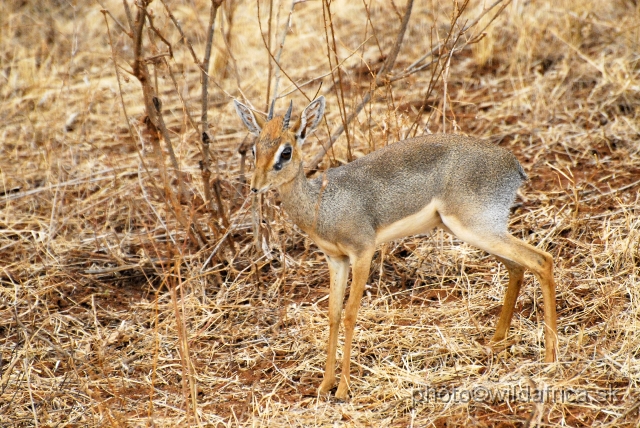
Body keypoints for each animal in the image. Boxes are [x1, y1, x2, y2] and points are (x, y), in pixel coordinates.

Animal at [232, 97, 556, 402]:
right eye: (254, 149)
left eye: (285, 152)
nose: (255, 187)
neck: (322, 202)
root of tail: (513, 165)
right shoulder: (336, 259)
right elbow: (333, 315)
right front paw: (325, 385)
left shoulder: (363, 252)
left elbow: (350, 314)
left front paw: (343, 390)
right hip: (473, 231)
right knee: (518, 267)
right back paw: (496, 342)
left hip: (477, 228)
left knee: (542, 260)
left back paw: (550, 359)